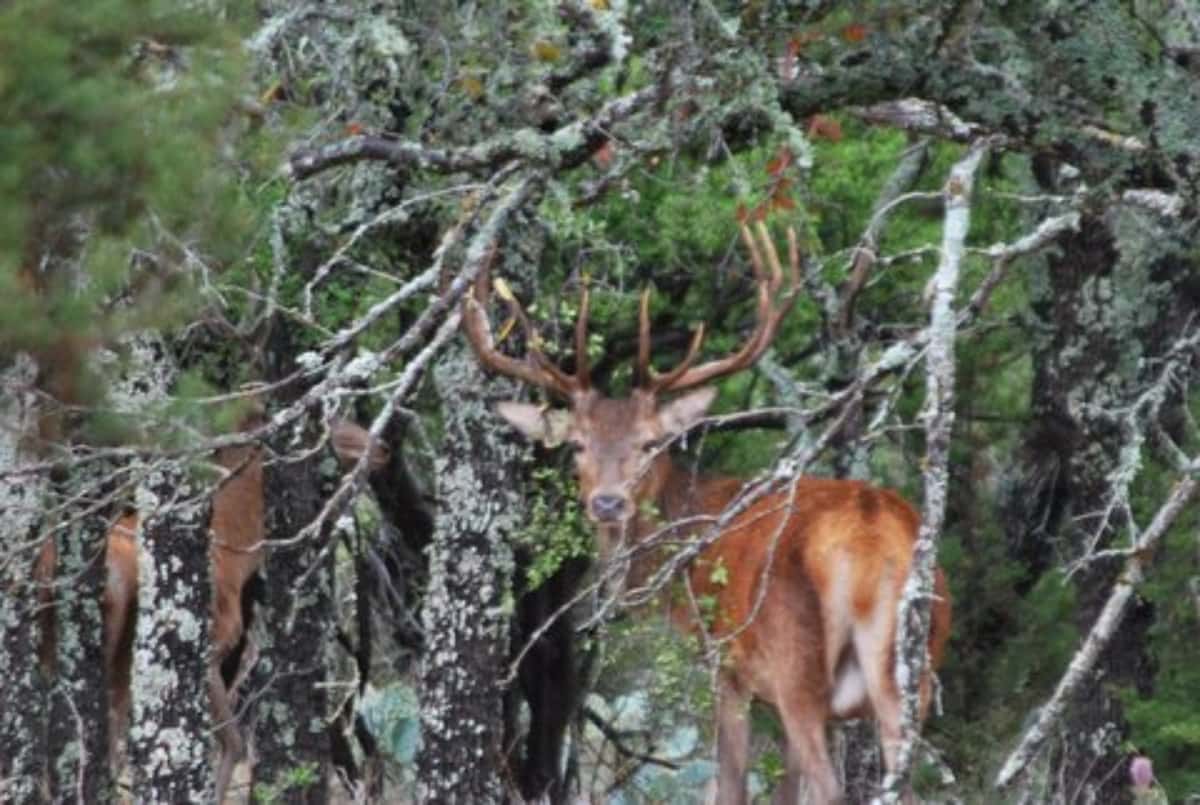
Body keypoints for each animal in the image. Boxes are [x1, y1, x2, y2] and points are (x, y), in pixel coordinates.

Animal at [462, 221, 953, 804]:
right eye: (578, 444)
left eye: (650, 442)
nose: (608, 501)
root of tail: (872, 539)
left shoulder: (728, 669)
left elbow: (732, 785)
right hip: (910, 672)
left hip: (796, 667)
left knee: (832, 787)